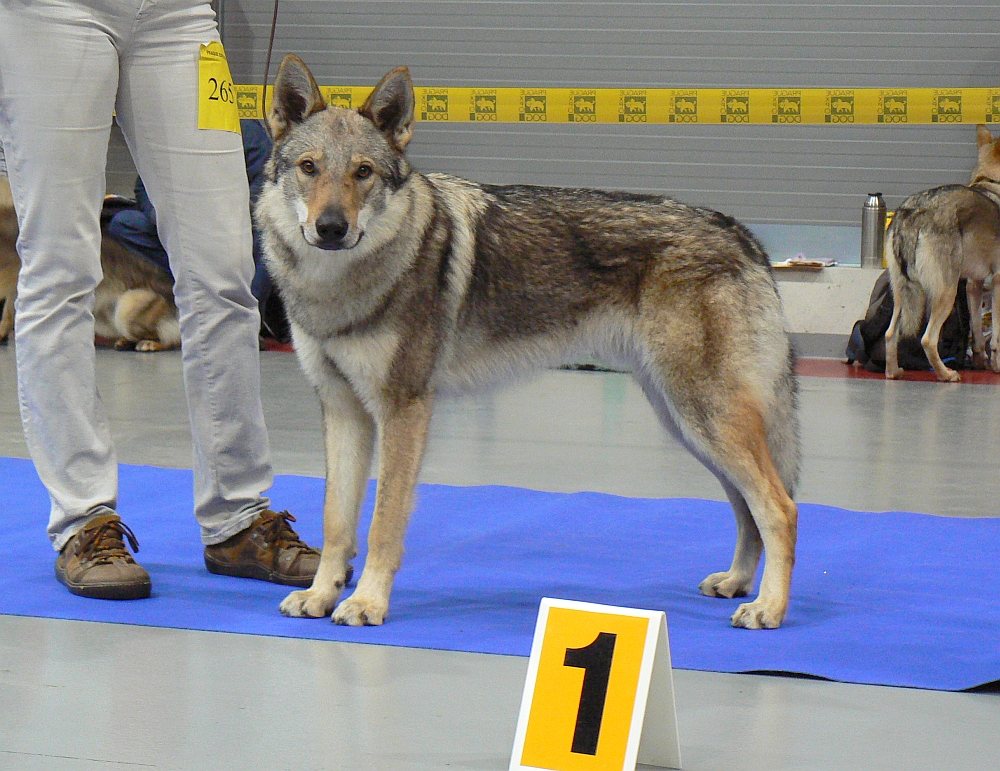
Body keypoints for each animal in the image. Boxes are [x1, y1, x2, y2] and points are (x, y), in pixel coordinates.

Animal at [254, 58, 800, 628]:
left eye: (363, 172)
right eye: (309, 168)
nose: (331, 227)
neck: (336, 286)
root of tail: (742, 233)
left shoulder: (404, 409)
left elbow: (383, 523)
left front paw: (365, 603)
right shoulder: (343, 410)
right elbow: (337, 520)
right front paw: (321, 594)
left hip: (704, 418)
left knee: (781, 508)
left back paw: (768, 608)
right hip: (688, 424)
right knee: (748, 508)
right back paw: (737, 582)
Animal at [884, 123, 1000, 382]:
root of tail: (914, 211)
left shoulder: (974, 284)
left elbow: (978, 335)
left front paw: (981, 363)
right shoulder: (998, 282)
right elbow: (997, 338)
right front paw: (997, 366)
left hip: (902, 295)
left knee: (889, 334)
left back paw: (893, 372)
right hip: (946, 294)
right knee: (928, 339)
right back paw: (946, 375)